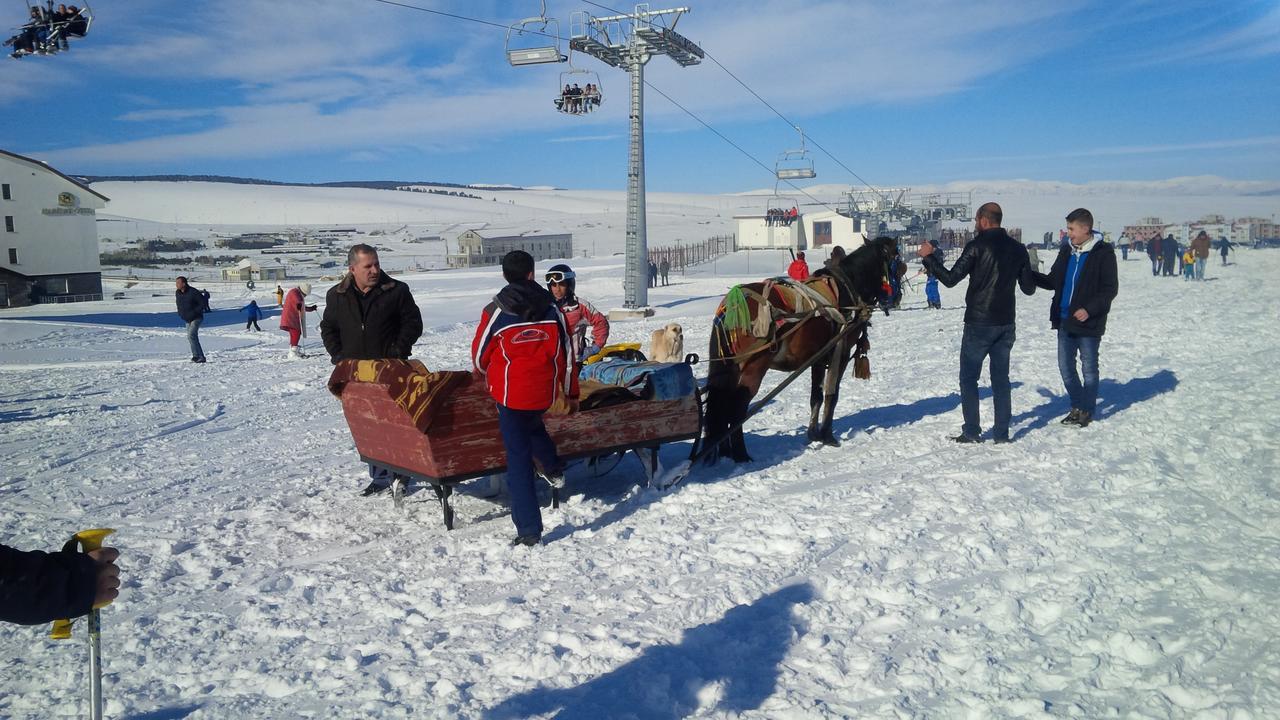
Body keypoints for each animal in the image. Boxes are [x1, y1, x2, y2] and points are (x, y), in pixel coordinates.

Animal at [701, 235, 901, 458]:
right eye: (898, 259)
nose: (897, 297)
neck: (848, 290)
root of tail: (735, 302)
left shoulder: (818, 359)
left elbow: (816, 397)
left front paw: (813, 434)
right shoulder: (840, 353)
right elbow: (832, 395)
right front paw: (828, 435)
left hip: (730, 366)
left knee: (722, 404)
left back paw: (725, 451)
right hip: (753, 367)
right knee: (736, 408)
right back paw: (741, 454)